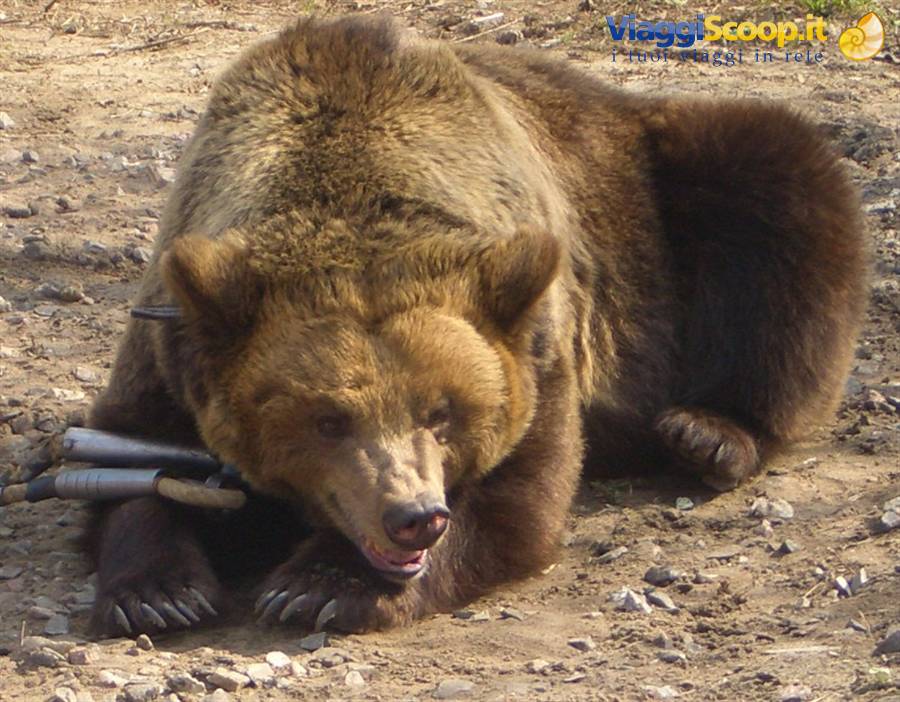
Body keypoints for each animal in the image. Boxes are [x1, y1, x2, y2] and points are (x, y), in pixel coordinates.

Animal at [84, 13, 867, 636]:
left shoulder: (536, 342)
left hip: (662, 208)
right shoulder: (174, 332)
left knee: (776, 181)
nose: (413, 515)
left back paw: (708, 432)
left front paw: (320, 586)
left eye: (442, 412)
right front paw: (159, 593)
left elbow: (517, 499)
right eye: (328, 420)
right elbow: (129, 462)